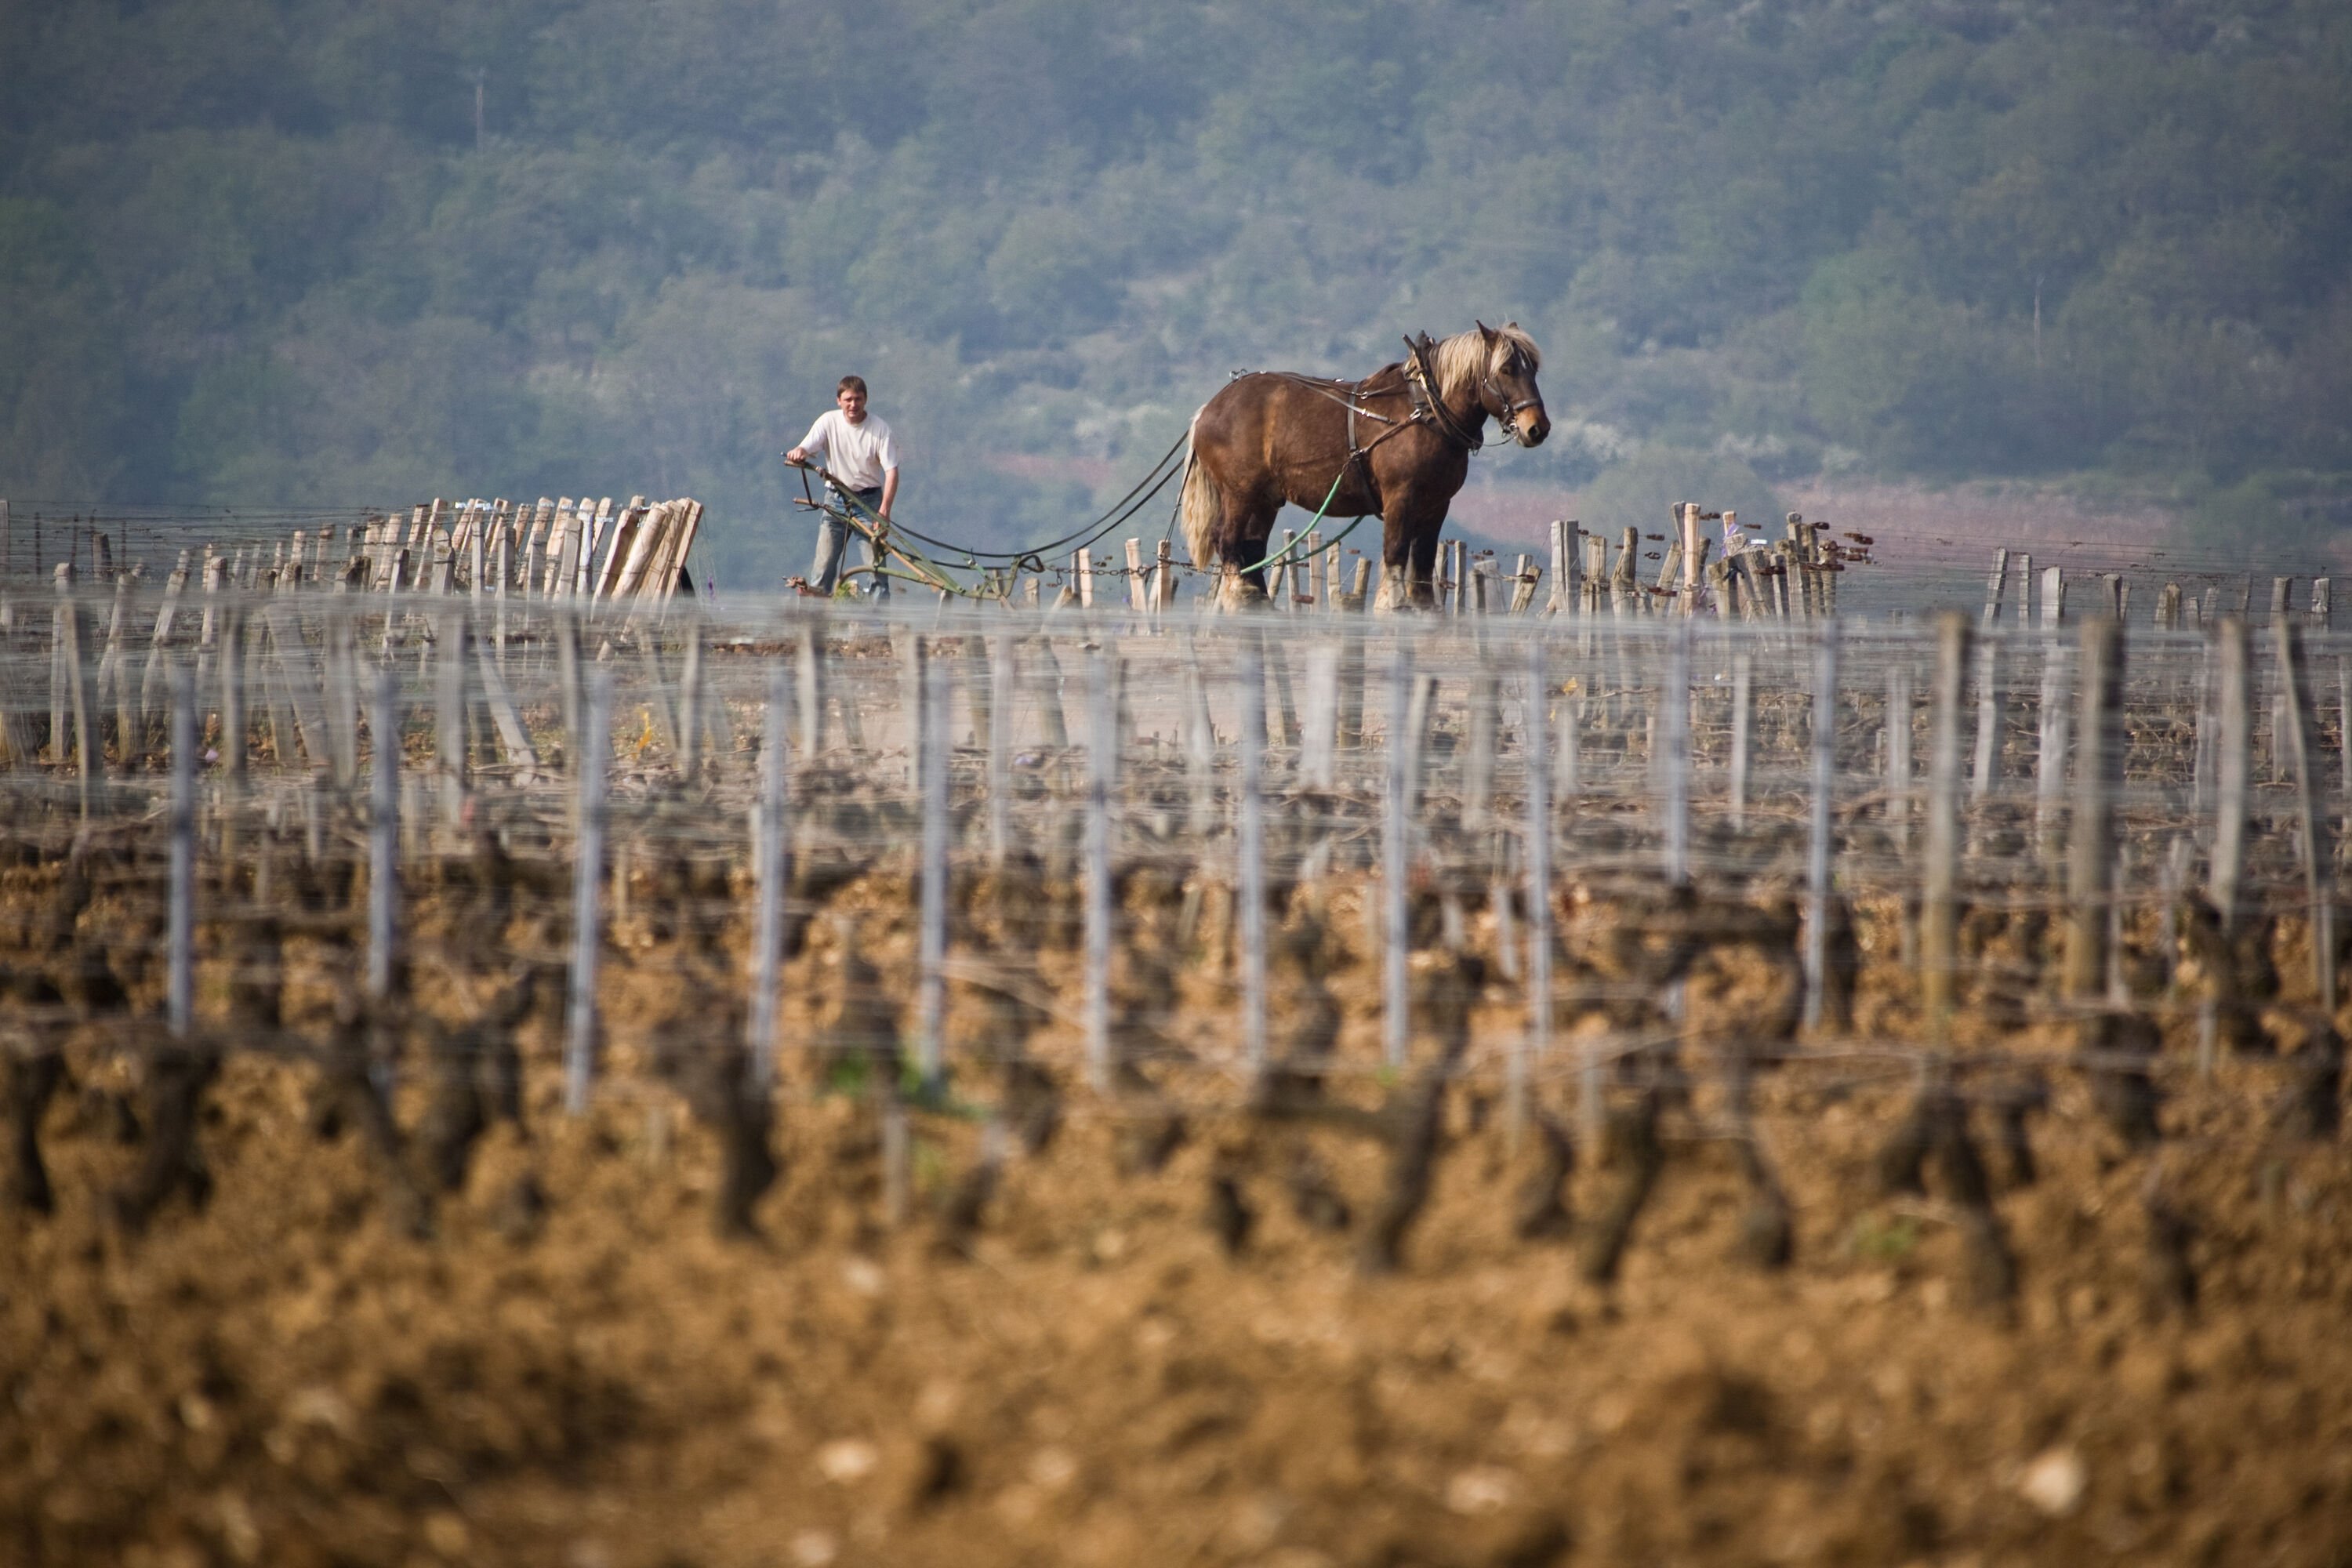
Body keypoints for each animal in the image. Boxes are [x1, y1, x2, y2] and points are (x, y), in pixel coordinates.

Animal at [1176, 321, 1543, 611]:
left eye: (1534, 369)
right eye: (1506, 370)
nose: (1537, 427)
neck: (1426, 411)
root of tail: (1209, 409)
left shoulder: (1437, 505)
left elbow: (1423, 561)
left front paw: (1424, 607)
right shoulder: (1401, 497)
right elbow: (1395, 551)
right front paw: (1393, 603)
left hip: (1266, 498)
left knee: (1251, 547)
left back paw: (1258, 599)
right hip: (1240, 491)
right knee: (1226, 539)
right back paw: (1239, 592)